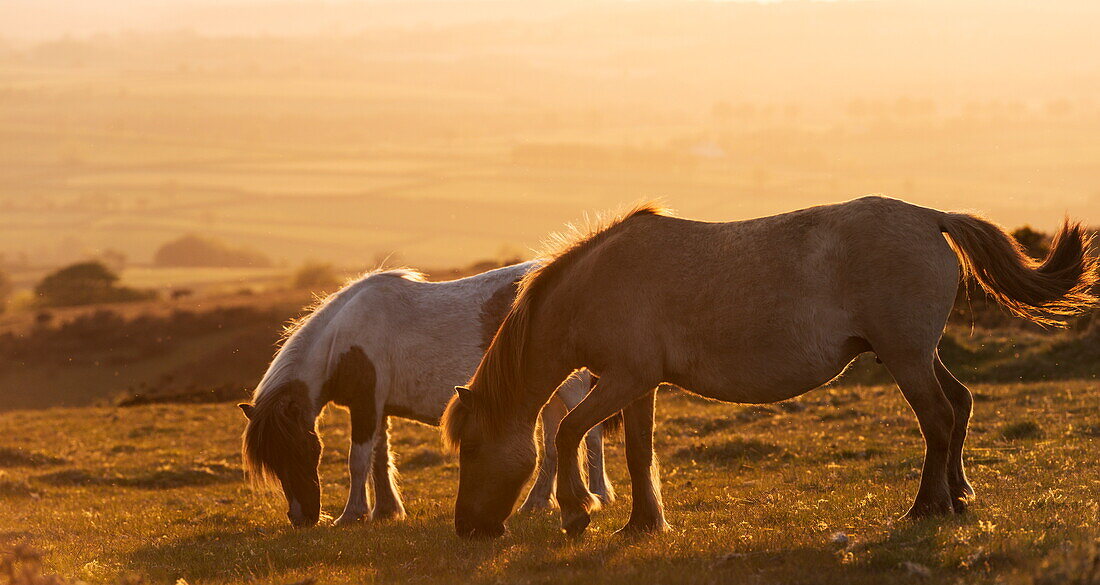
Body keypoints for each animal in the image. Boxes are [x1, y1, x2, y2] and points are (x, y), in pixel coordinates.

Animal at [238, 262, 611, 527]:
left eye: (300, 451)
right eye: (273, 460)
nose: (301, 518)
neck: (342, 343)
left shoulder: (365, 404)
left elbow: (358, 460)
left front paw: (352, 515)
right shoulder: (379, 407)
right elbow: (379, 458)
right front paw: (386, 510)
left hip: (571, 390)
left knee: (589, 435)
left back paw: (599, 495)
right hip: (547, 396)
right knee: (552, 447)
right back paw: (536, 503)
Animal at [442, 197, 1095, 538]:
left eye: (471, 448)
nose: (469, 527)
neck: (597, 283)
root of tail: (929, 217)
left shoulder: (623, 380)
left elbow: (571, 432)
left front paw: (578, 512)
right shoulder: (638, 385)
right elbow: (636, 450)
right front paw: (644, 523)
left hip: (907, 359)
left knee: (936, 419)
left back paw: (926, 507)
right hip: (918, 354)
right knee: (958, 406)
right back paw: (958, 497)